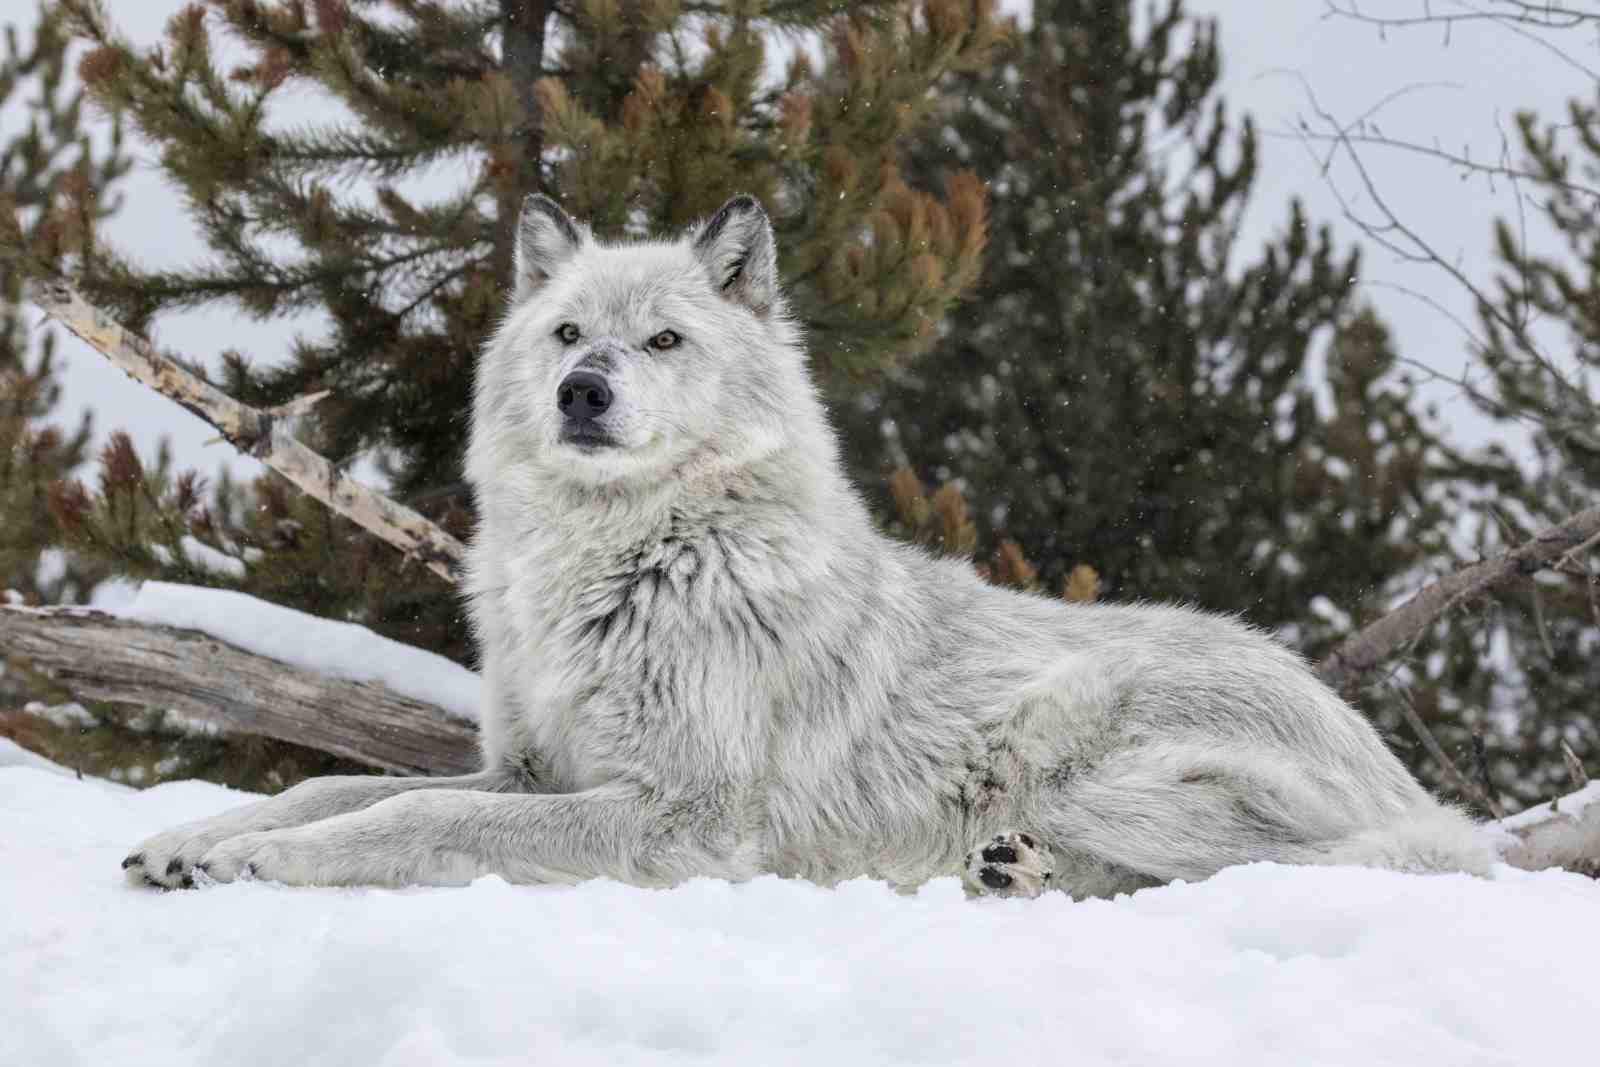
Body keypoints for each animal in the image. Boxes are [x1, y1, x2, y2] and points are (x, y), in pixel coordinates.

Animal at [122, 195, 1494, 897]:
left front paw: (268, 861)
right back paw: (1011, 872)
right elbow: (336, 783)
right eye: (566, 330)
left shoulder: (680, 817)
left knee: (1304, 867)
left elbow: (401, 815)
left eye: (662, 340)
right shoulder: (529, 767)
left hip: (1081, 760)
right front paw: (204, 837)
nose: (581, 388)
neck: (621, 562)